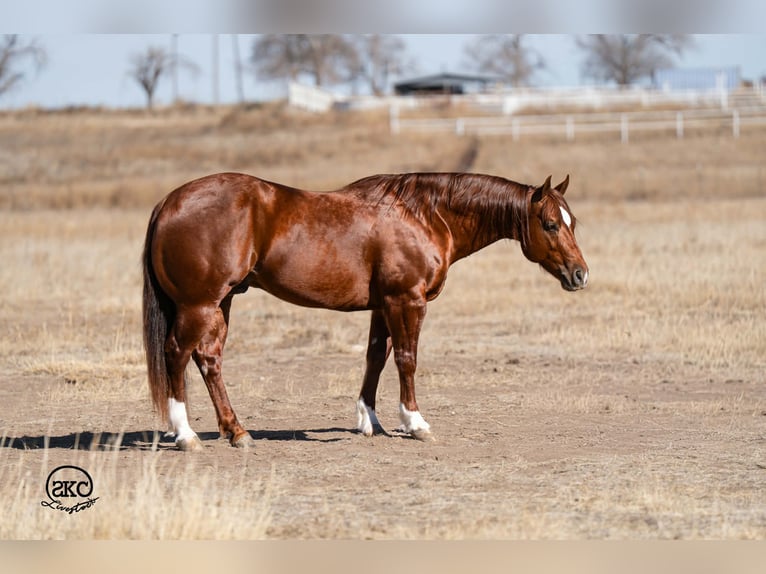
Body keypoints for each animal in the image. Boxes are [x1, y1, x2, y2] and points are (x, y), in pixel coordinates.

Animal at [142, 171, 588, 451]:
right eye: (550, 224)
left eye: (573, 222)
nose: (580, 274)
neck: (425, 216)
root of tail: (167, 201)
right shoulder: (406, 301)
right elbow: (407, 359)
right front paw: (415, 423)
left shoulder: (382, 306)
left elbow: (376, 358)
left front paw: (369, 421)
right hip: (199, 304)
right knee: (177, 354)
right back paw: (186, 435)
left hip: (222, 302)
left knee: (209, 359)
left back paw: (237, 432)